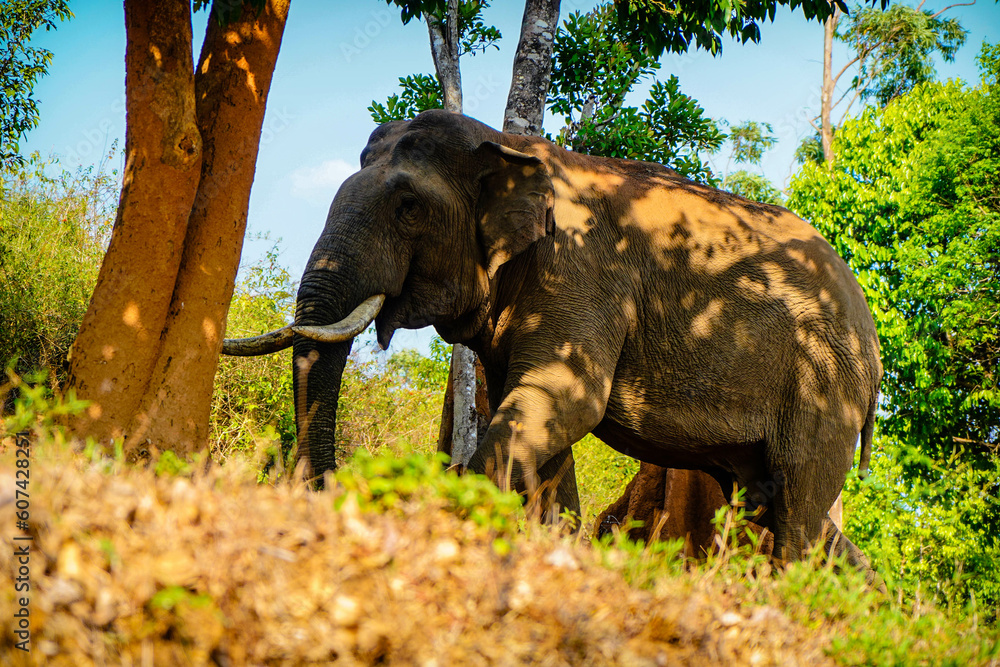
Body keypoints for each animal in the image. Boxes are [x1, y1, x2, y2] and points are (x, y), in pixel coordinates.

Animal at [223, 109, 883, 577]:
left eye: (408, 206)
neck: (512, 150)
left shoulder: (582, 272)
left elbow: (562, 399)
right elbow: (536, 414)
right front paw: (551, 537)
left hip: (825, 388)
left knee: (796, 502)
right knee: (763, 498)